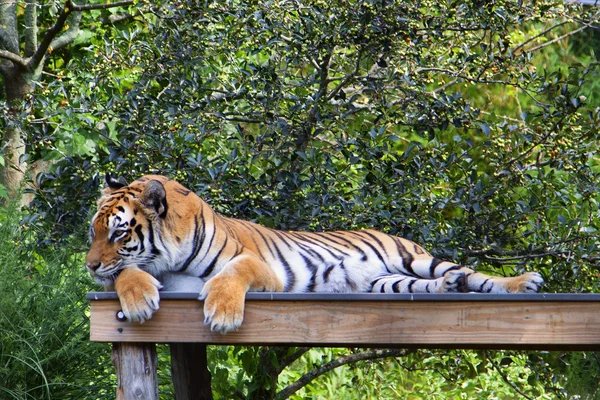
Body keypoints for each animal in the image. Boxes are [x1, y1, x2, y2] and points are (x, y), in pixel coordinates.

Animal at [86, 173, 548, 332]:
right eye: (93, 232)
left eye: (118, 233)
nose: (89, 265)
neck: (168, 256)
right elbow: (126, 274)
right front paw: (139, 300)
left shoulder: (257, 265)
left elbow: (230, 276)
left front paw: (222, 314)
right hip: (387, 283)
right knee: (430, 284)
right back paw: (448, 287)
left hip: (415, 257)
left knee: (476, 273)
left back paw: (523, 282)